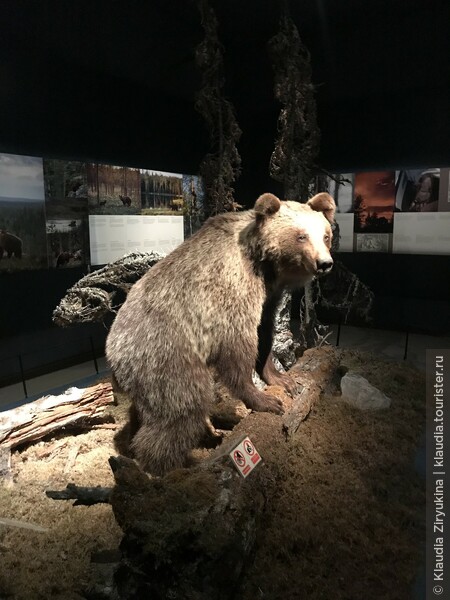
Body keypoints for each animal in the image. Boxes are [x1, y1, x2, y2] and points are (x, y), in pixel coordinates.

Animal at [106, 192, 334, 474]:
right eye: (301, 236)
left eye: (326, 235)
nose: (324, 263)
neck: (263, 265)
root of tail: (113, 354)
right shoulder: (229, 292)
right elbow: (237, 348)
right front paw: (265, 400)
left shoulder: (268, 297)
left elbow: (264, 334)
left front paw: (282, 379)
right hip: (163, 356)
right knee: (181, 408)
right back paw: (166, 467)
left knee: (147, 412)